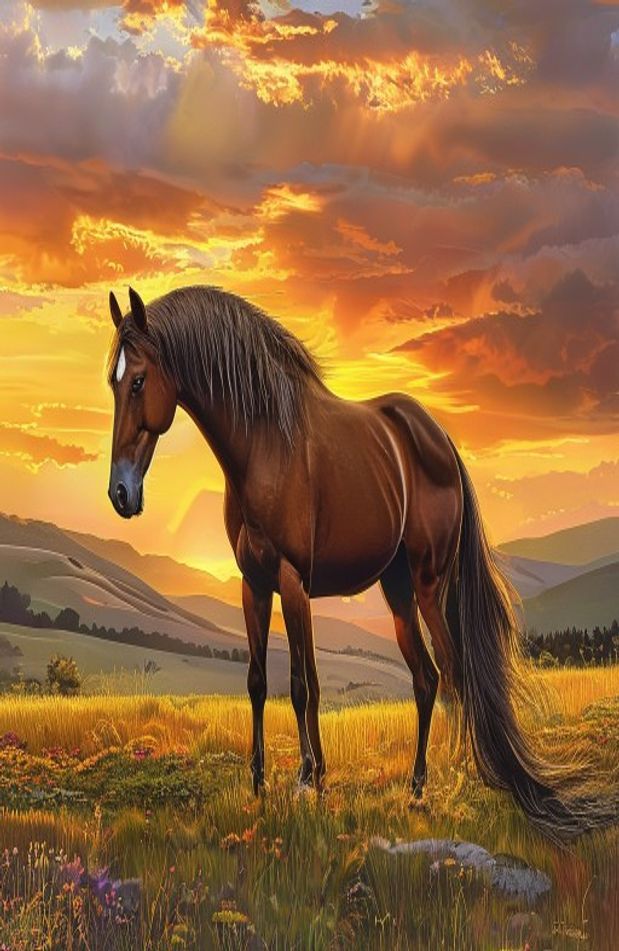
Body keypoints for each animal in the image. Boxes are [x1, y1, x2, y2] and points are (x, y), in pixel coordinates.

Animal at [106, 284, 614, 841]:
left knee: (455, 673)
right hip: (398, 593)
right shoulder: (254, 584)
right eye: (113, 382)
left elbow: (302, 686)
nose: (120, 493)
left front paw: (308, 780)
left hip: (429, 586)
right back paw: (416, 788)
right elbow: (261, 683)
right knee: (426, 680)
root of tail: (439, 439)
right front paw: (263, 786)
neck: (264, 446)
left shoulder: (293, 582)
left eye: (138, 380)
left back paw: (462, 780)